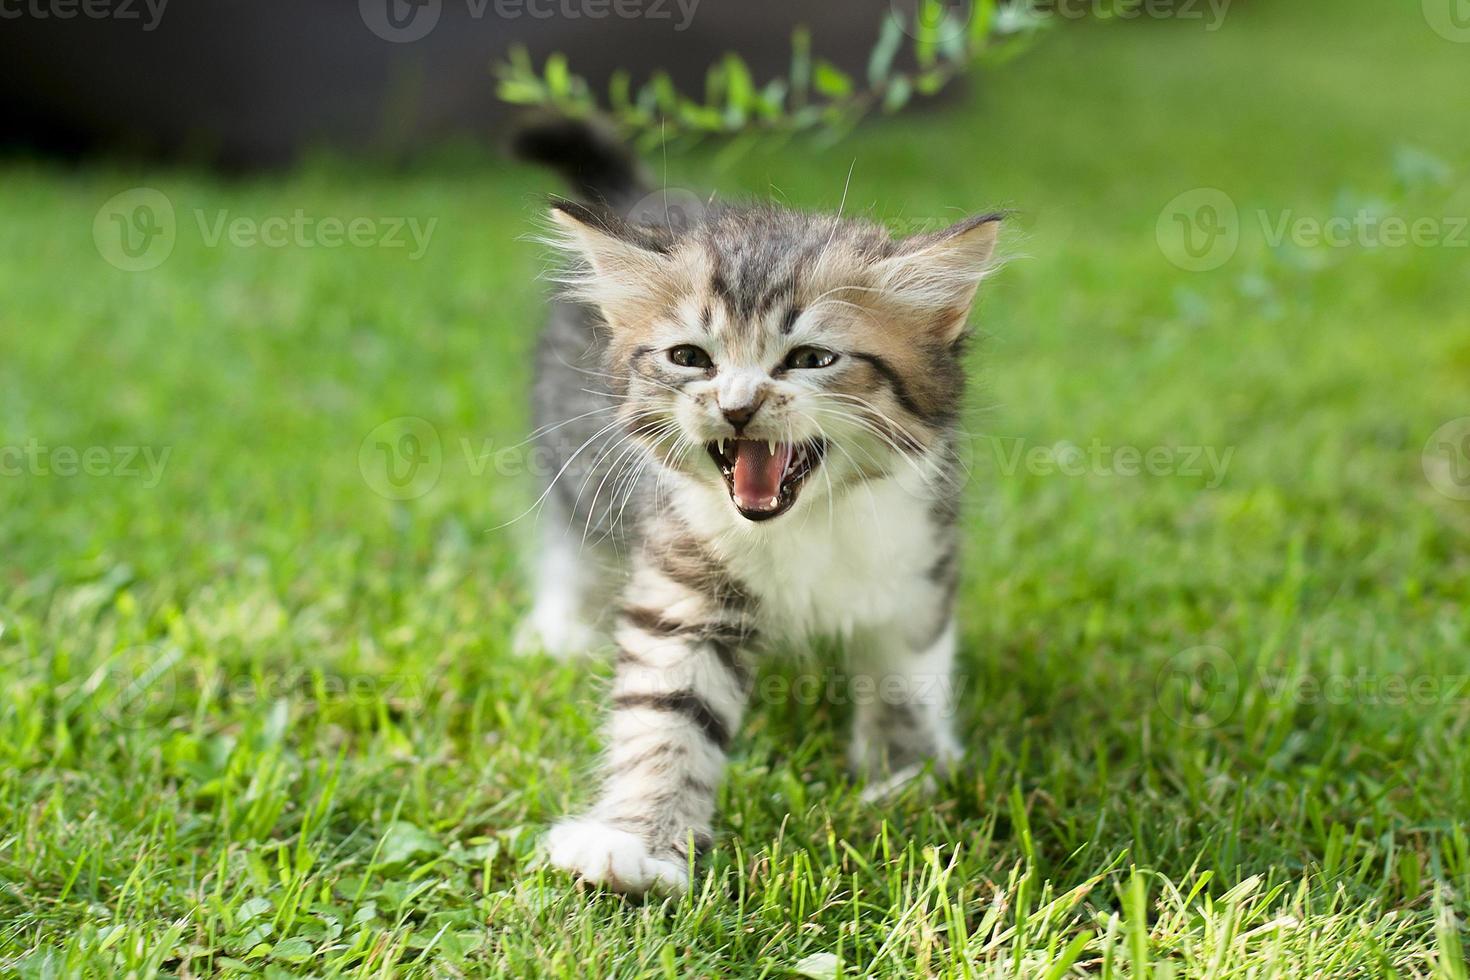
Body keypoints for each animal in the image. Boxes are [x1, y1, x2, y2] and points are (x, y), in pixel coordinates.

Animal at [511, 116, 1005, 899]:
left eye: (810, 359)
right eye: (690, 358)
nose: (737, 407)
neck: (806, 524)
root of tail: (651, 194)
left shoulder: (917, 557)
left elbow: (906, 673)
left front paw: (906, 774)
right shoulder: (684, 578)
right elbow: (666, 710)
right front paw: (635, 843)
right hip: (572, 462)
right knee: (570, 544)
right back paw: (559, 628)